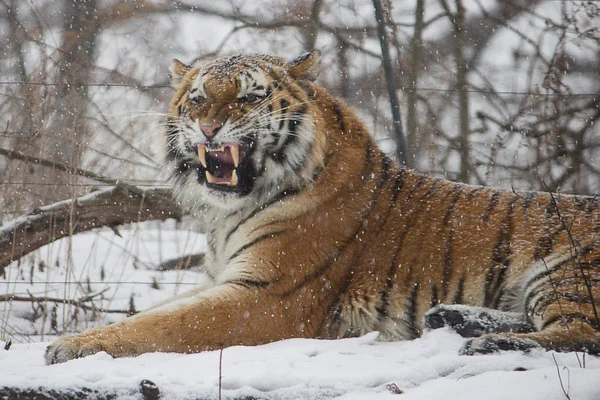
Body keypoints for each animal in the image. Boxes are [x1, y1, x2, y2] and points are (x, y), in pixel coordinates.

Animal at [45, 48, 600, 364]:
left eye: (248, 98)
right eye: (199, 98)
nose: (208, 127)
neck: (230, 211)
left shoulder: (268, 295)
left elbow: (165, 325)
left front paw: (73, 346)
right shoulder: (224, 279)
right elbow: (157, 312)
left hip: (568, 272)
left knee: (579, 333)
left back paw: (485, 343)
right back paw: (454, 318)